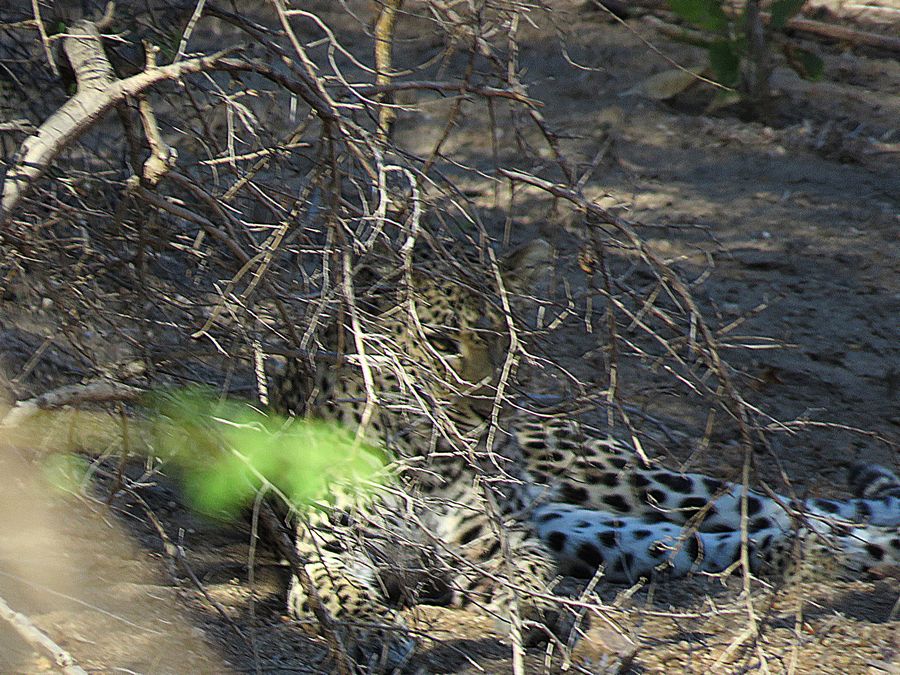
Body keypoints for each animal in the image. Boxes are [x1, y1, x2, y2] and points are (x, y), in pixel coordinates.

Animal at [269, 235, 900, 669]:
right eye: (441, 342)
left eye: (506, 336)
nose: (489, 407)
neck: (422, 454)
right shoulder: (326, 550)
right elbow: (345, 595)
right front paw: (376, 634)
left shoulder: (494, 539)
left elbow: (528, 569)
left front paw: (532, 608)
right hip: (597, 531)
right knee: (724, 540)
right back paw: (824, 558)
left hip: (627, 487)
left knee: (778, 507)